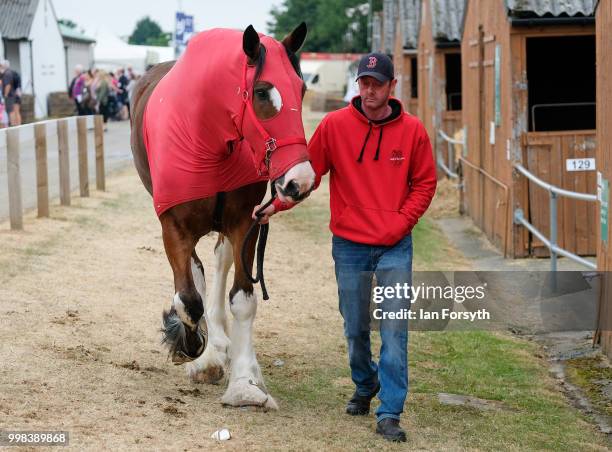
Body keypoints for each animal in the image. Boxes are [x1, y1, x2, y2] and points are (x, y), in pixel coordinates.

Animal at [132, 23, 318, 410]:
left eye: (302, 89)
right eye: (262, 92)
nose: (301, 180)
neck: (208, 136)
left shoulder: (244, 223)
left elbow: (243, 300)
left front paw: (245, 382)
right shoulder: (174, 227)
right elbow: (188, 301)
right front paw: (193, 349)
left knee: (219, 260)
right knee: (198, 276)